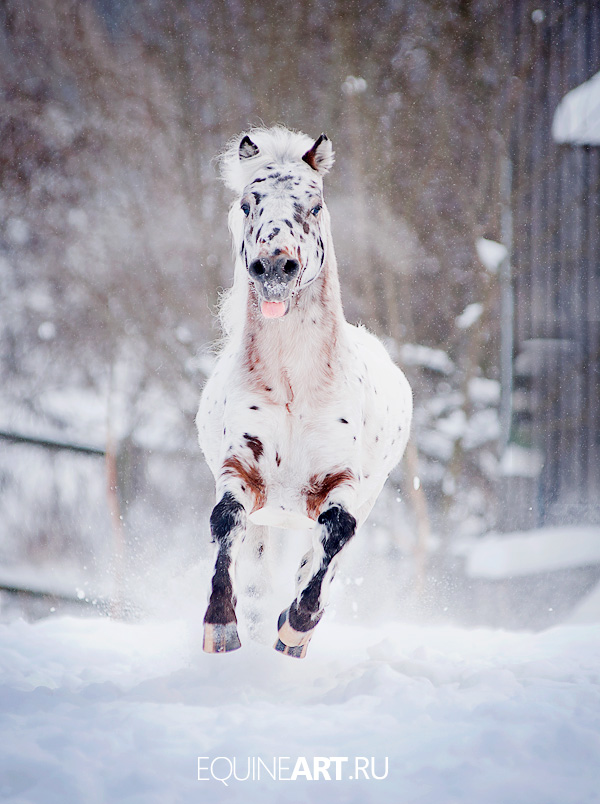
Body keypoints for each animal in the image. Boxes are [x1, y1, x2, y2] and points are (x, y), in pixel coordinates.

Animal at [197, 124, 412, 652]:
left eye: (314, 206)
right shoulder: (242, 472)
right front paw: (222, 626)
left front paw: (294, 626)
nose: (275, 268)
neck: (295, 385)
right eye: (248, 205)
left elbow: (336, 535)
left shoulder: (339, 483)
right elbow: (225, 521)